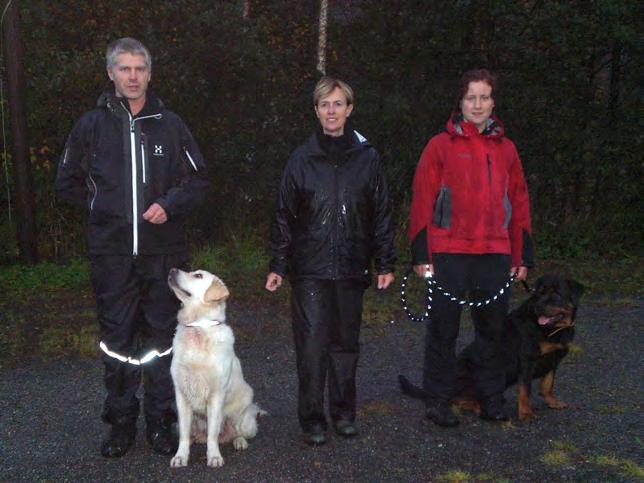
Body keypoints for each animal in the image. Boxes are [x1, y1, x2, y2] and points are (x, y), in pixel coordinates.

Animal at [169, 268, 266, 468]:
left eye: (198, 275)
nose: (172, 270)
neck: (198, 326)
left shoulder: (216, 395)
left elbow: (212, 434)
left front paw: (214, 457)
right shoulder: (181, 396)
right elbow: (184, 433)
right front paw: (181, 456)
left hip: (243, 417)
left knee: (237, 432)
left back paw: (239, 441)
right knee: (193, 433)